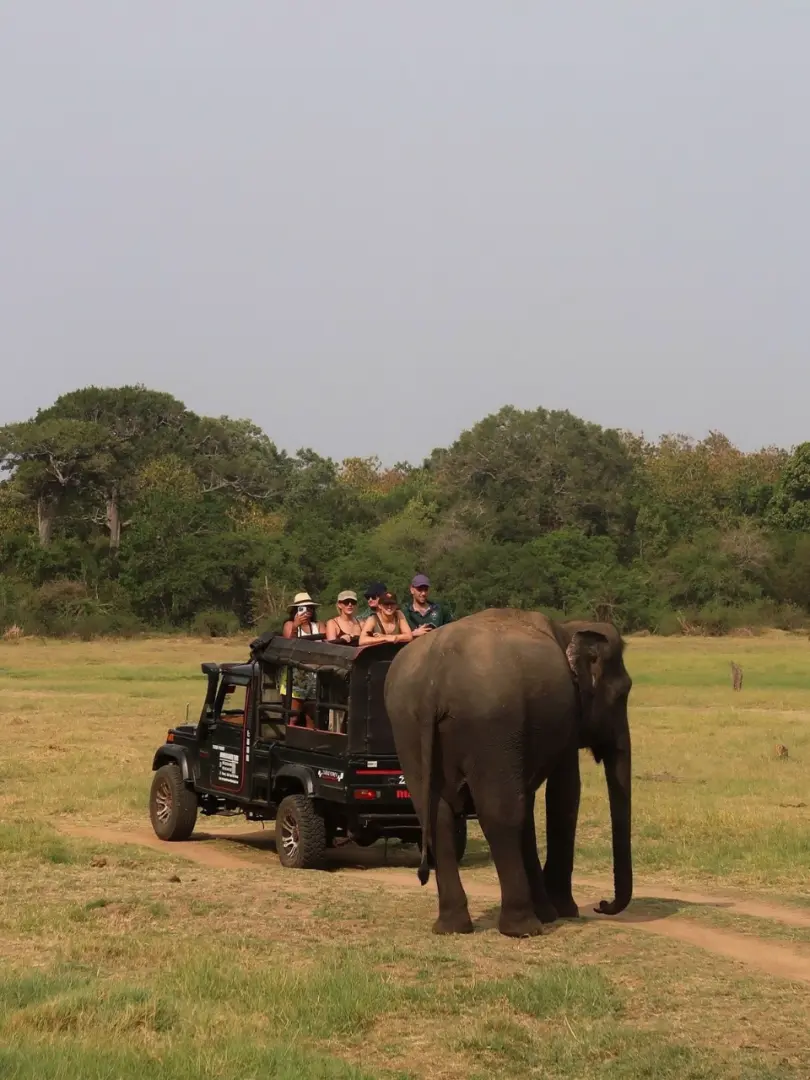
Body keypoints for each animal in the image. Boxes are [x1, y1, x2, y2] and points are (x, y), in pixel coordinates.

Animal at [383, 608, 633, 937]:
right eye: (622, 693)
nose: (603, 905)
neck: (568, 629)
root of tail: (433, 678)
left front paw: (551, 911)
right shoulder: (566, 719)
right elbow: (564, 795)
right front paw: (564, 911)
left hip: (406, 724)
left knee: (436, 817)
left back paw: (452, 927)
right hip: (492, 724)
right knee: (500, 814)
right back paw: (523, 928)